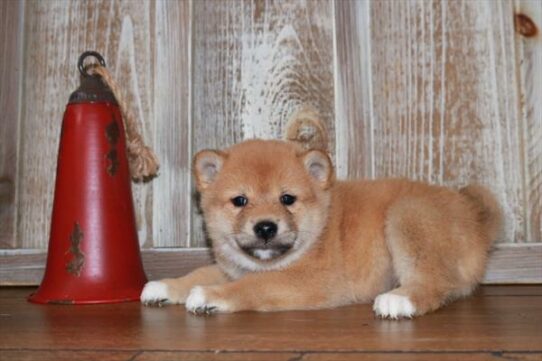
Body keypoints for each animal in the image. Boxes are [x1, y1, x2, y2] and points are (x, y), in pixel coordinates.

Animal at [141, 117, 506, 316]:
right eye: (240, 201)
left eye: (287, 199)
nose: (265, 227)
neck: (318, 230)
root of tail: (474, 216)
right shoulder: (233, 267)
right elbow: (199, 272)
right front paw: (165, 285)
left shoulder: (312, 280)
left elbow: (254, 286)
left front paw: (209, 296)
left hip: (407, 215)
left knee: (436, 283)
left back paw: (400, 299)